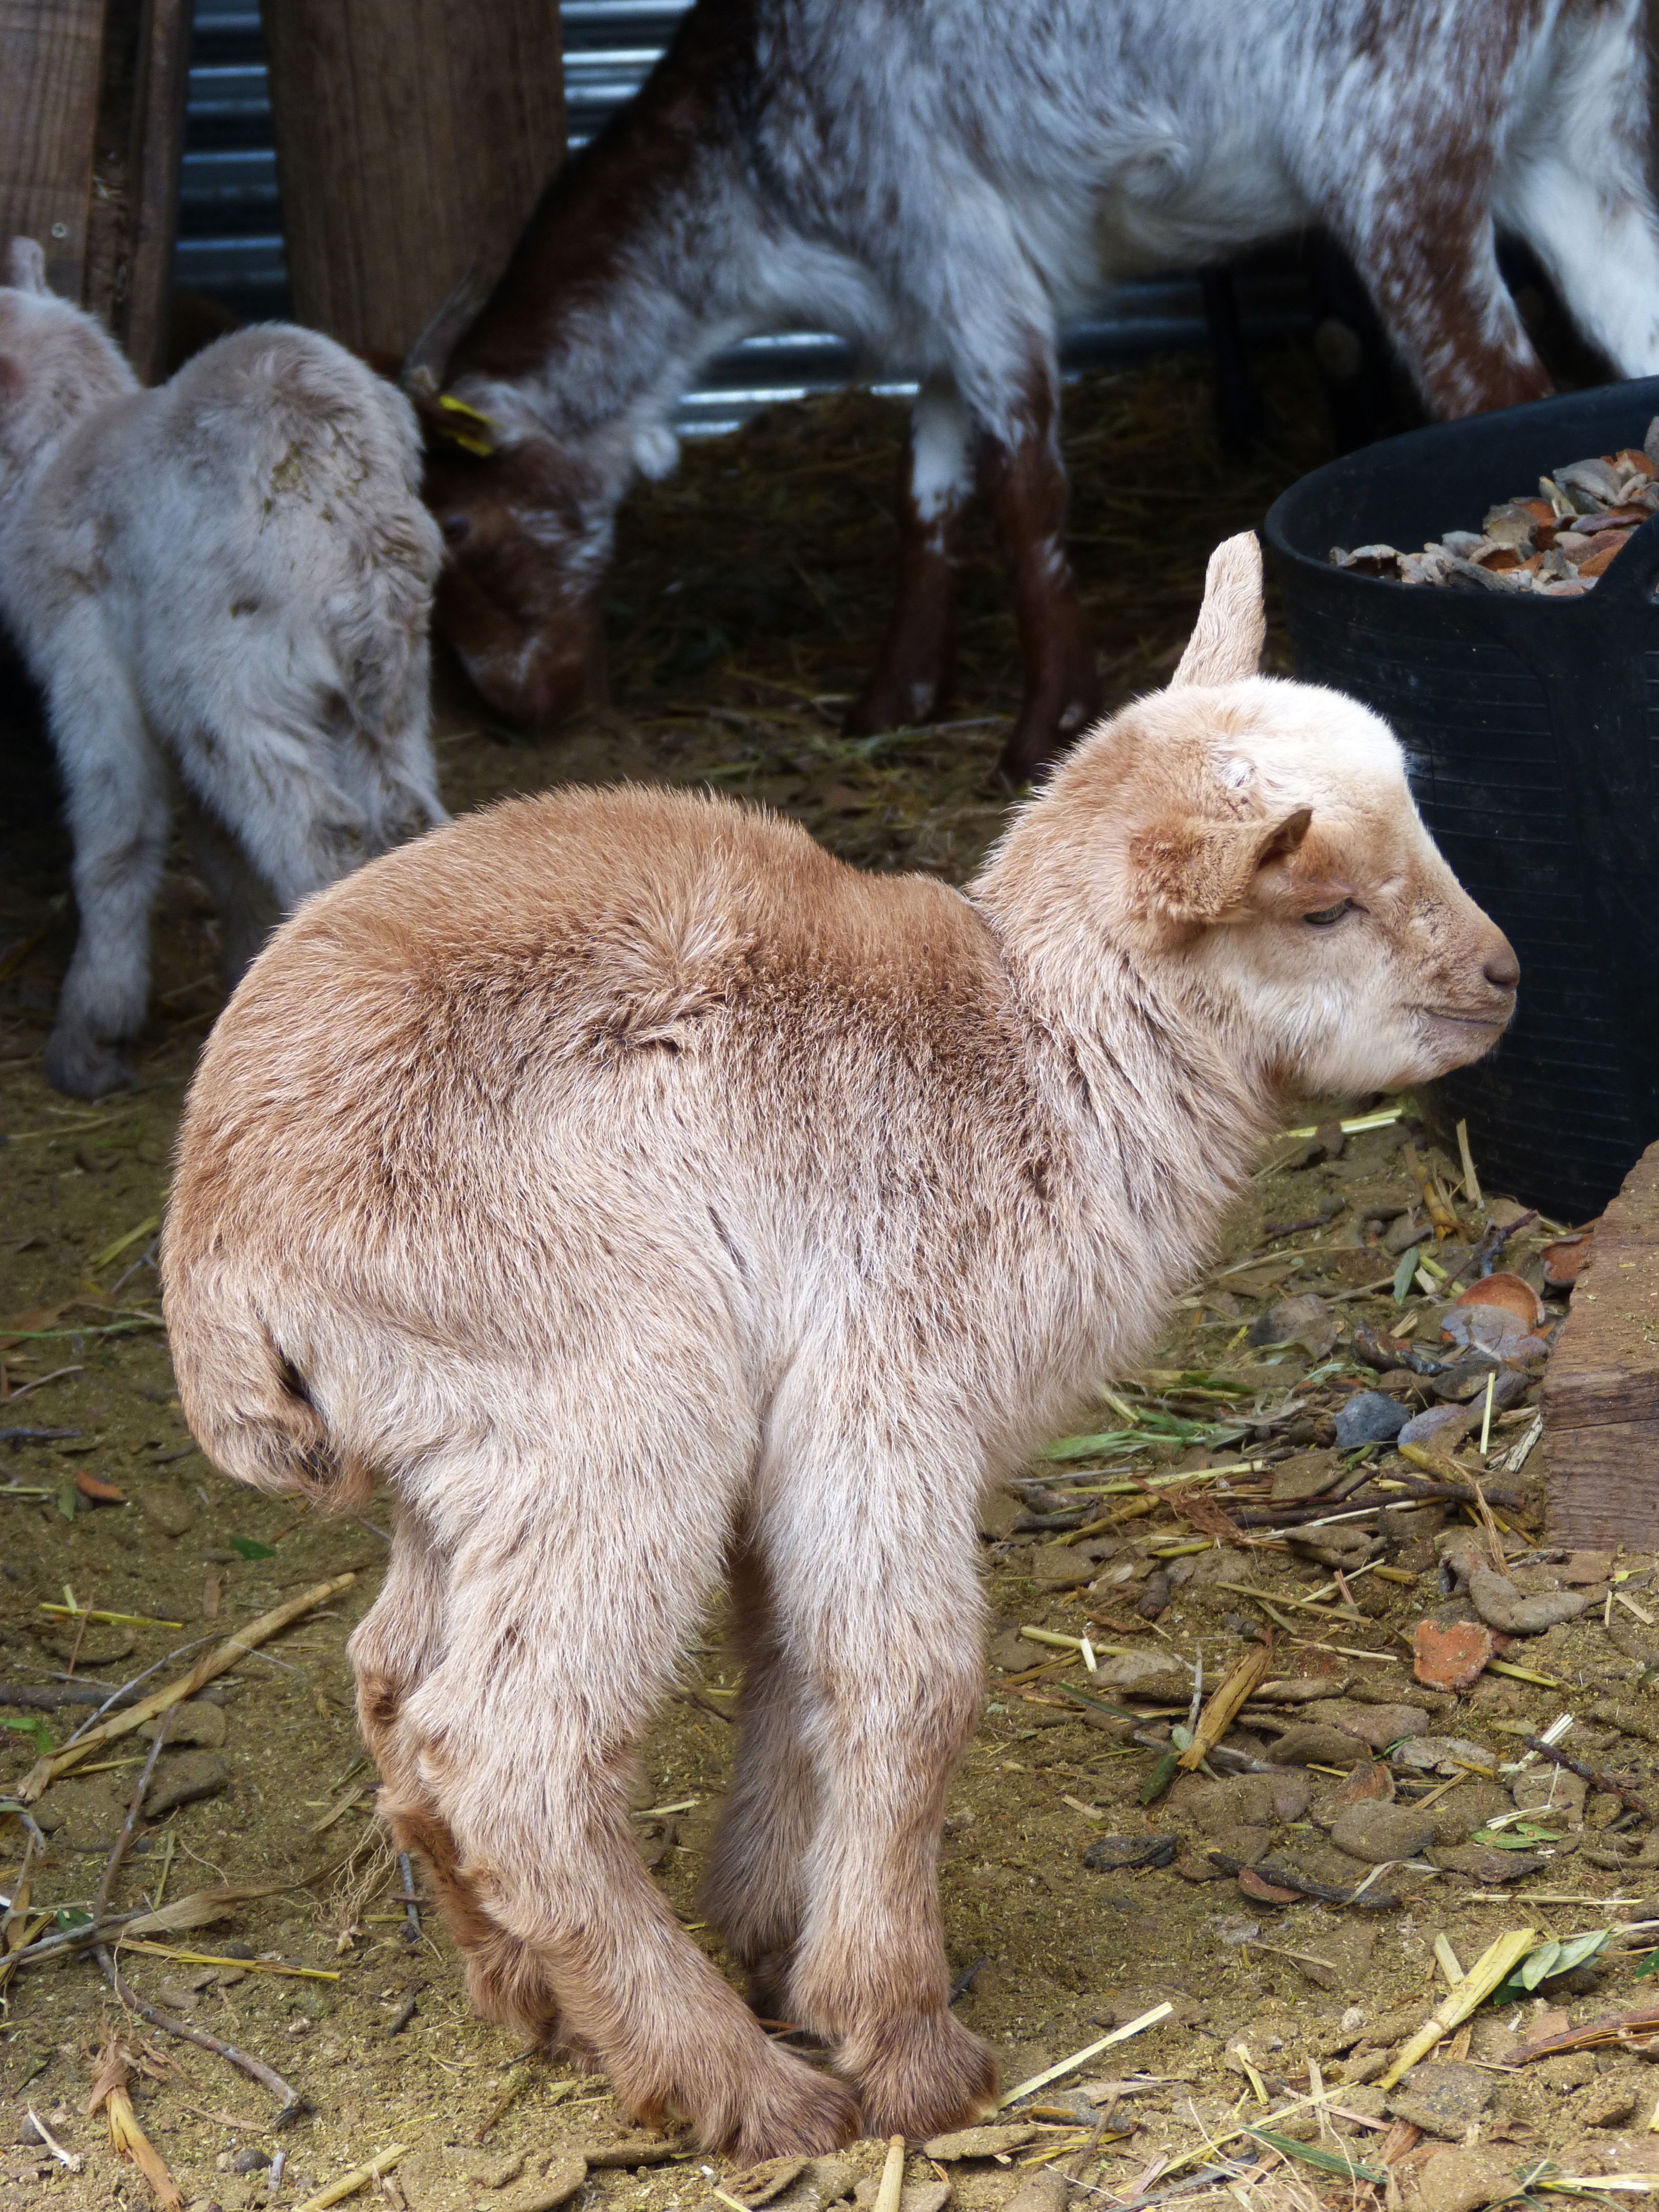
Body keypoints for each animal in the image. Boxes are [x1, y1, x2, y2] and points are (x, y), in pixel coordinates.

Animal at [0, 235, 449, 1097]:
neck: (54, 451)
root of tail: (358, 521)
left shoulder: (90, 662)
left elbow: (118, 841)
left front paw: (91, 1040)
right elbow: (221, 854)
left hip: (230, 681)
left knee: (319, 839)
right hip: (392, 682)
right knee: (405, 821)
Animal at [166, 535, 1521, 2159]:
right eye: (1319, 908)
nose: (1504, 976)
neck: (1043, 1059)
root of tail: (216, 1254)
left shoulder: (801, 1427)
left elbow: (789, 1660)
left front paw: (770, 1922)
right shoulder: (892, 1381)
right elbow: (907, 1679)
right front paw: (897, 2028)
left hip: (468, 1436)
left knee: (395, 1684)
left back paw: (536, 1995)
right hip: (609, 1367)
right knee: (513, 1748)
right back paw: (737, 2084)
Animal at [409, 0, 1659, 779]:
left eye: (456, 528)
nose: (514, 702)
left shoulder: (961, 249)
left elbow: (1024, 489)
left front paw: (1042, 724)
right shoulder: (935, 301)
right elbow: (928, 488)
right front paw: (892, 699)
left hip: (1393, 152)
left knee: (1496, 393)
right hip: (1564, 141)